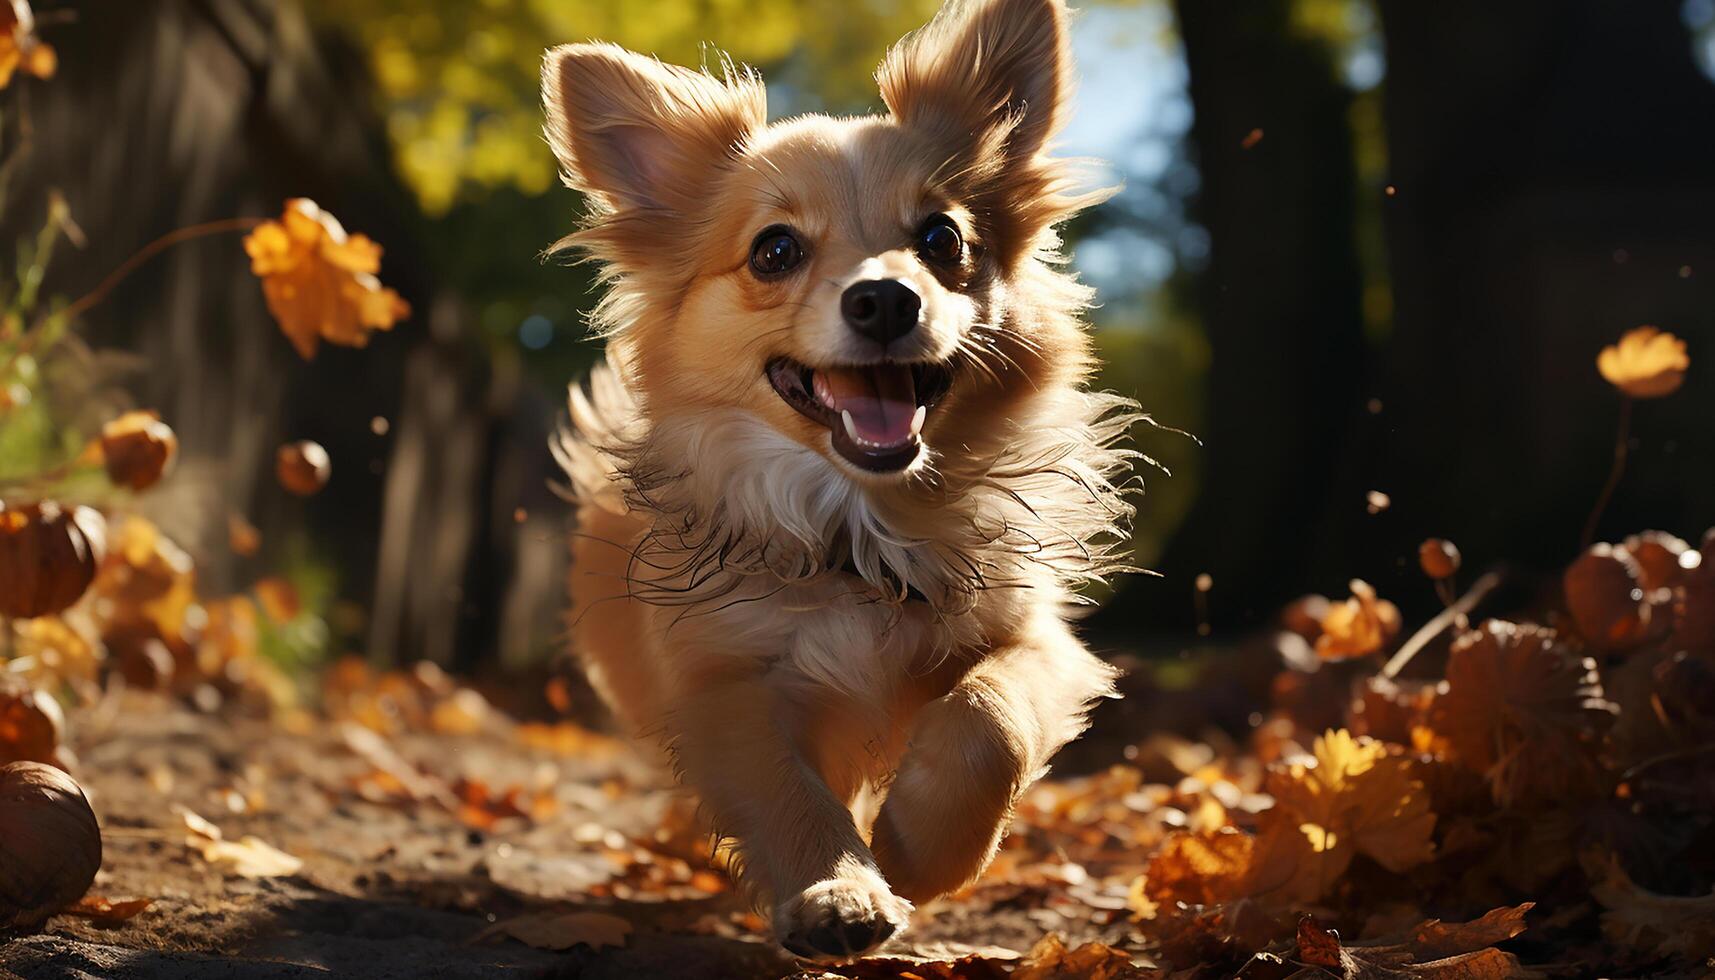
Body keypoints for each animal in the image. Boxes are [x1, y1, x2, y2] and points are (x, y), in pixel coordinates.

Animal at [545, 0, 1138, 961]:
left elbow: (988, 721)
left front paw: (918, 852)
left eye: (942, 240)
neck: (859, 528)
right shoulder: (728, 686)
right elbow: (784, 791)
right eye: (774, 251)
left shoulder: (1036, 641)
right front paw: (837, 890)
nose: (885, 298)